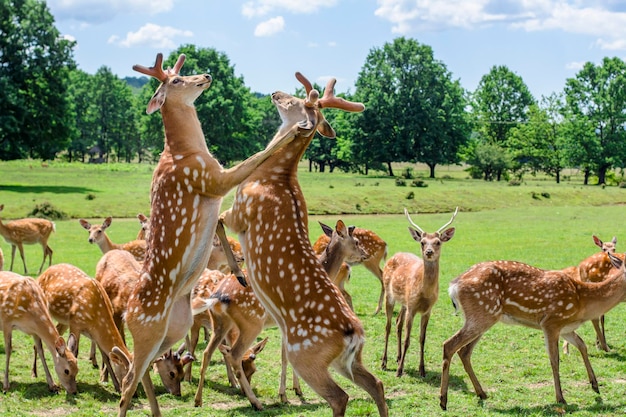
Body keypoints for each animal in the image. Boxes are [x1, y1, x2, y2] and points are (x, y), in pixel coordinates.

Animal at [36, 262, 133, 392]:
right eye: (127, 373)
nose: (135, 394)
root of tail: (42, 274)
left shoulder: (95, 335)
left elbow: (105, 357)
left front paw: (116, 386)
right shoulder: (75, 323)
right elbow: (75, 353)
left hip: (64, 321)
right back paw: (36, 374)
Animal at [111, 52, 294, 416]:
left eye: (181, 70)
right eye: (176, 80)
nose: (207, 75)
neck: (189, 152)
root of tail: (127, 311)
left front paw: (240, 273)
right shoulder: (212, 179)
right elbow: (255, 156)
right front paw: (295, 128)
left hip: (174, 328)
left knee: (143, 371)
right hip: (150, 329)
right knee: (127, 383)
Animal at [218, 73, 386, 414]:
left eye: (298, 100)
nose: (274, 92)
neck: (271, 175)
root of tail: (353, 335)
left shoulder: (238, 213)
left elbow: (217, 221)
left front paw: (239, 272)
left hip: (305, 354)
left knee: (340, 395)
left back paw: (257, 401)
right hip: (348, 361)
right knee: (376, 384)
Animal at [378, 207, 456, 376]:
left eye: (438, 242)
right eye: (422, 242)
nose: (429, 251)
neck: (425, 294)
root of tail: (393, 255)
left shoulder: (427, 310)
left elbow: (422, 338)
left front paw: (422, 369)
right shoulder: (412, 308)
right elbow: (408, 339)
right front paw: (399, 371)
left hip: (404, 303)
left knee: (398, 323)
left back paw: (398, 357)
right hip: (389, 294)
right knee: (387, 326)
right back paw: (384, 362)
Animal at [438, 254, 626, 410]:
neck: (583, 303)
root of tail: (453, 286)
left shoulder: (566, 328)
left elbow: (582, 345)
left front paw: (595, 386)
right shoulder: (551, 322)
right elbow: (554, 360)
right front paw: (560, 398)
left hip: (484, 317)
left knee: (464, 351)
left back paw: (481, 393)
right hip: (482, 313)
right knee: (449, 344)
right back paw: (443, 400)